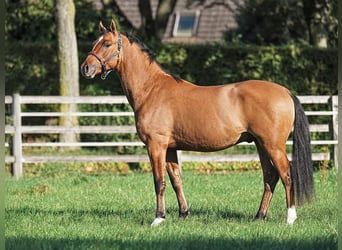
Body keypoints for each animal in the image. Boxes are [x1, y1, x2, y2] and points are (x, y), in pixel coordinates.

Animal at [79, 19, 312, 227]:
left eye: (106, 43)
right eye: (94, 42)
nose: (86, 68)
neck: (152, 89)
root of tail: (285, 91)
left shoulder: (156, 145)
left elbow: (159, 182)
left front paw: (159, 218)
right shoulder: (170, 148)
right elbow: (176, 180)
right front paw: (183, 214)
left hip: (272, 145)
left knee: (286, 175)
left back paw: (290, 218)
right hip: (260, 144)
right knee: (270, 176)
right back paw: (259, 216)